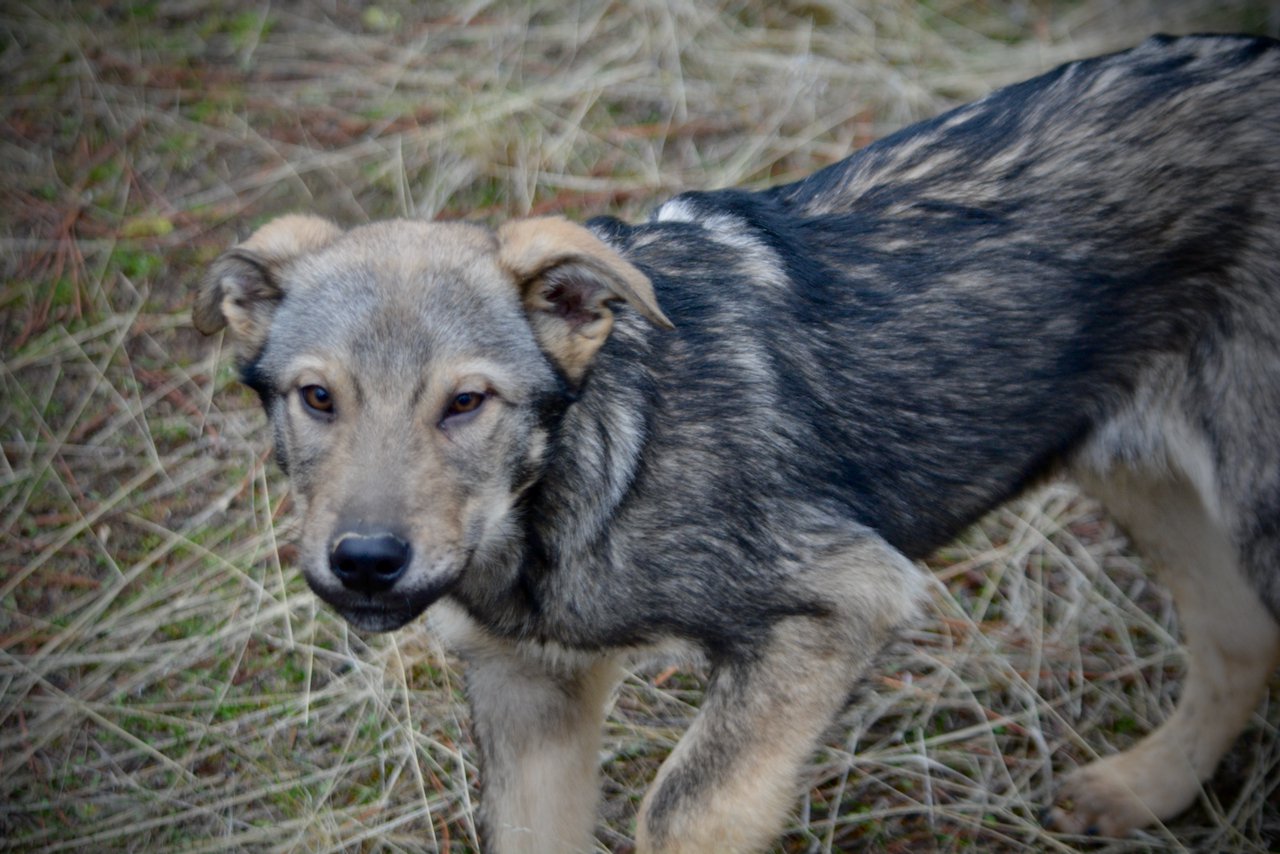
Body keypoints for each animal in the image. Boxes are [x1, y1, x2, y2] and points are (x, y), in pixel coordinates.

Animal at [194, 33, 1280, 854]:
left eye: (465, 403)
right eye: (317, 399)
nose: (366, 563)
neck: (584, 479)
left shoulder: (844, 597)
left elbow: (681, 808)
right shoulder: (528, 684)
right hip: (1139, 473)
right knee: (1237, 636)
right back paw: (1142, 788)